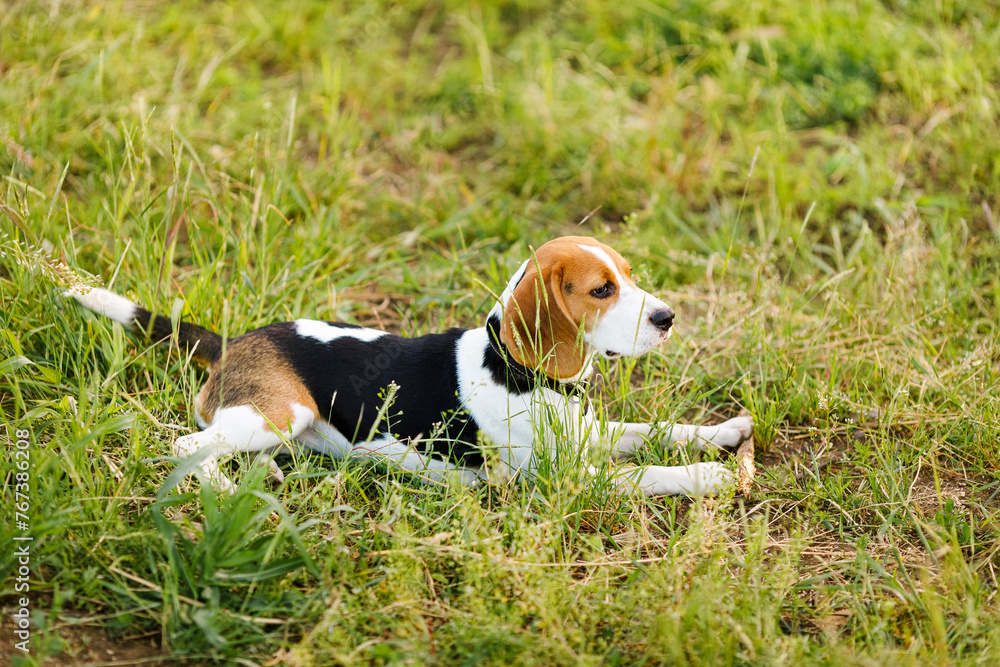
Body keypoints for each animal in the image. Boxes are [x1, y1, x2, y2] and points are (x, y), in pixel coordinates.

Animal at [72, 236, 752, 496]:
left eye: (630, 276)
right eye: (601, 290)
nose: (668, 316)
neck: (516, 368)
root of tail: (235, 342)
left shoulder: (591, 435)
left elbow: (654, 433)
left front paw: (723, 433)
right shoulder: (553, 479)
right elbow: (646, 473)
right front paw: (710, 476)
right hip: (274, 413)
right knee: (186, 445)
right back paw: (227, 488)